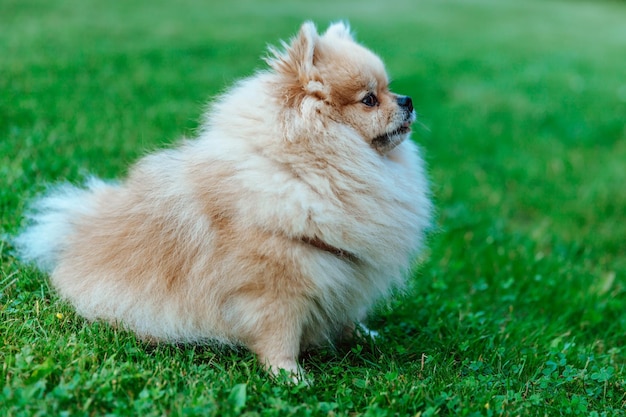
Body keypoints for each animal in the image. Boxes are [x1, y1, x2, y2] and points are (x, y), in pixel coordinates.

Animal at [17, 22, 432, 376]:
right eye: (369, 99)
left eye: (390, 89)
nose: (409, 99)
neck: (308, 171)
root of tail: (78, 231)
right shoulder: (275, 287)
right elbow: (280, 336)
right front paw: (289, 376)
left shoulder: (346, 269)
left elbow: (348, 313)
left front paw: (362, 335)